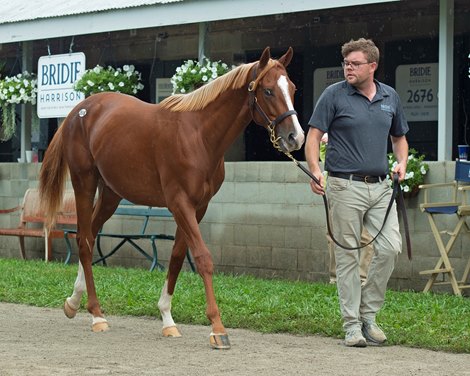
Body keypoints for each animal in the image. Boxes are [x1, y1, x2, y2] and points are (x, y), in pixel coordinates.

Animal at [39, 47, 304, 350]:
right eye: (269, 91)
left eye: (292, 88)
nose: (296, 137)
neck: (198, 134)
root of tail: (77, 112)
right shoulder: (180, 203)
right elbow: (202, 257)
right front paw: (217, 328)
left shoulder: (198, 207)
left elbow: (178, 256)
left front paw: (167, 319)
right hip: (85, 182)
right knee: (83, 240)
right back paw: (96, 314)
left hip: (111, 194)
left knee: (91, 236)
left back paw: (73, 302)